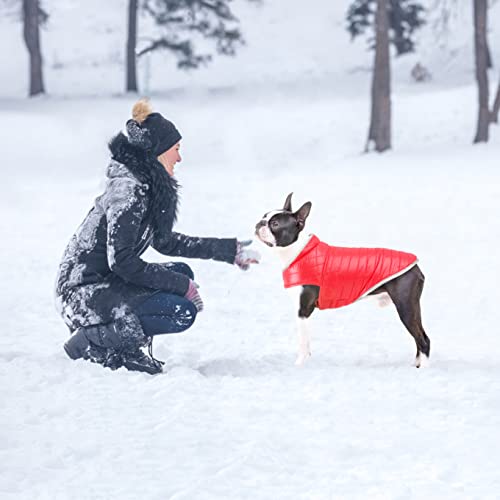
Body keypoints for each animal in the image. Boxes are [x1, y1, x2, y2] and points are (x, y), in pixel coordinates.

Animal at [254, 193, 430, 370]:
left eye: (275, 224)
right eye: (264, 216)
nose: (259, 223)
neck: (298, 251)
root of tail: (416, 267)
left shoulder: (303, 311)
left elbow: (303, 343)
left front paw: (298, 366)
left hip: (406, 307)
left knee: (423, 340)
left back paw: (423, 369)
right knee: (419, 337)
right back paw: (416, 364)